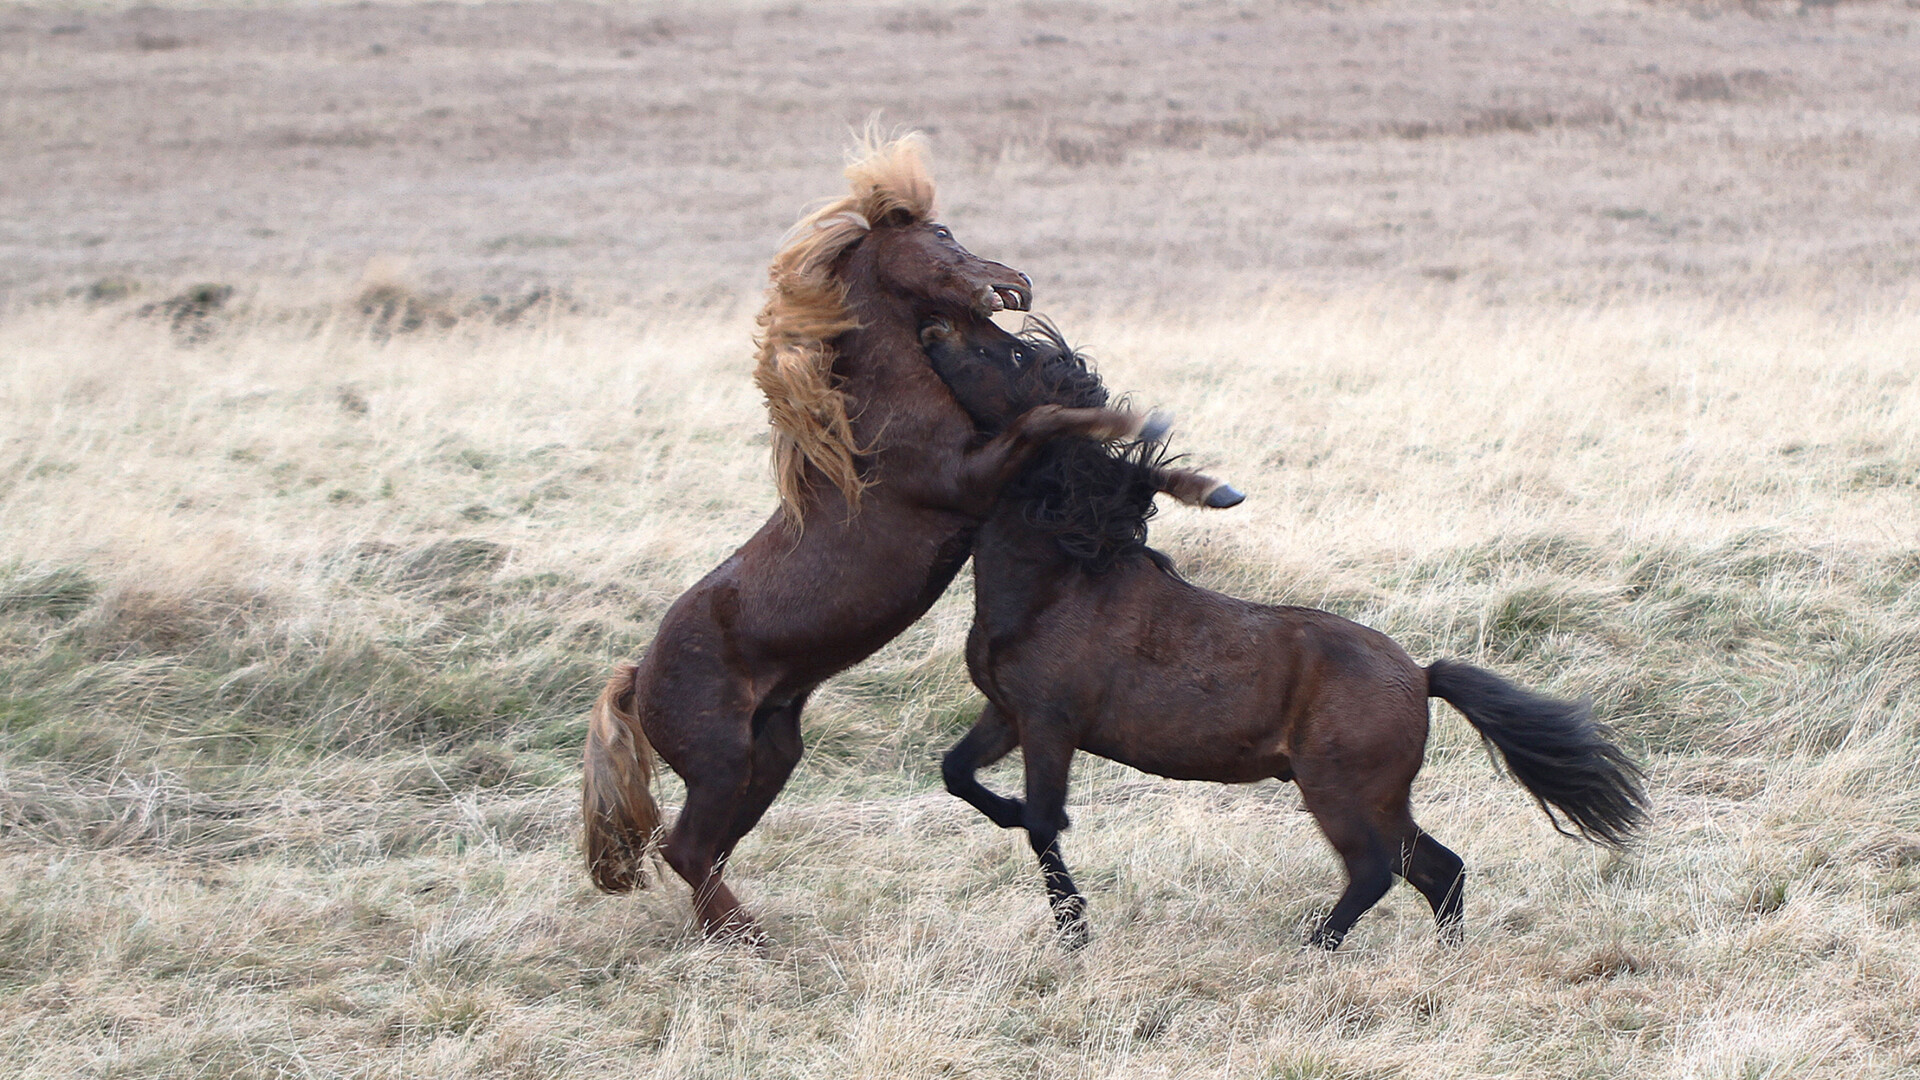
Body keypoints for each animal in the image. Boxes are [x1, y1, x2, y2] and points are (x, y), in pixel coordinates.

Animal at [579, 136, 1182, 941]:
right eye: (943, 234)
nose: (1016, 281)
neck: (883, 413)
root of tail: (638, 675)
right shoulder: (969, 477)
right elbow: (1041, 421)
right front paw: (1125, 422)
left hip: (769, 753)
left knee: (705, 849)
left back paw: (739, 932)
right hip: (719, 761)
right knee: (686, 847)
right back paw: (750, 942)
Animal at [921, 315, 1643, 945]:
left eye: (1012, 354)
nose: (933, 331)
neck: (1058, 581)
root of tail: (1420, 675)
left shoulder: (1051, 724)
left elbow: (1045, 825)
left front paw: (1074, 930)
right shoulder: (1007, 713)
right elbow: (957, 773)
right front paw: (1015, 824)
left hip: (1340, 794)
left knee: (1378, 872)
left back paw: (1312, 947)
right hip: (1377, 800)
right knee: (1439, 868)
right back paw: (1444, 955)